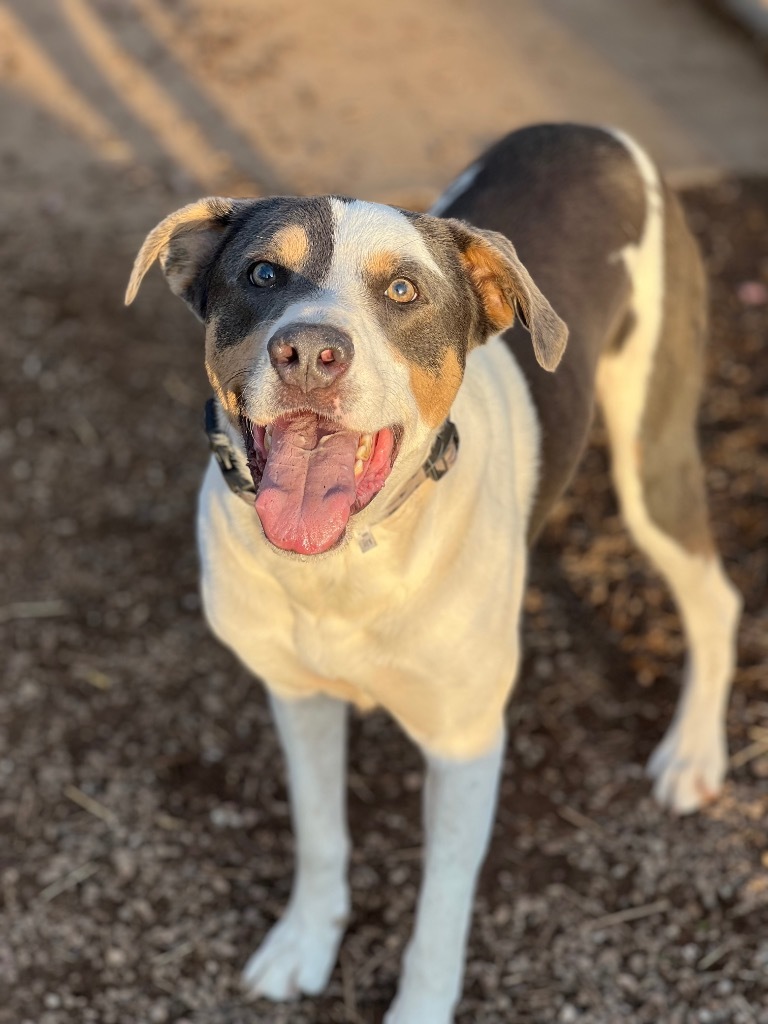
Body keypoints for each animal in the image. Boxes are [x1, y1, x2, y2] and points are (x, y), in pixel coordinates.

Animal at [126, 125, 741, 1024]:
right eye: (263, 275)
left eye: (404, 289)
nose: (309, 352)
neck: (347, 563)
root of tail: (596, 132)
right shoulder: (297, 697)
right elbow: (320, 833)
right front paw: (305, 941)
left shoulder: (465, 747)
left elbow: (441, 910)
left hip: (653, 460)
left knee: (714, 597)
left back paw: (692, 754)